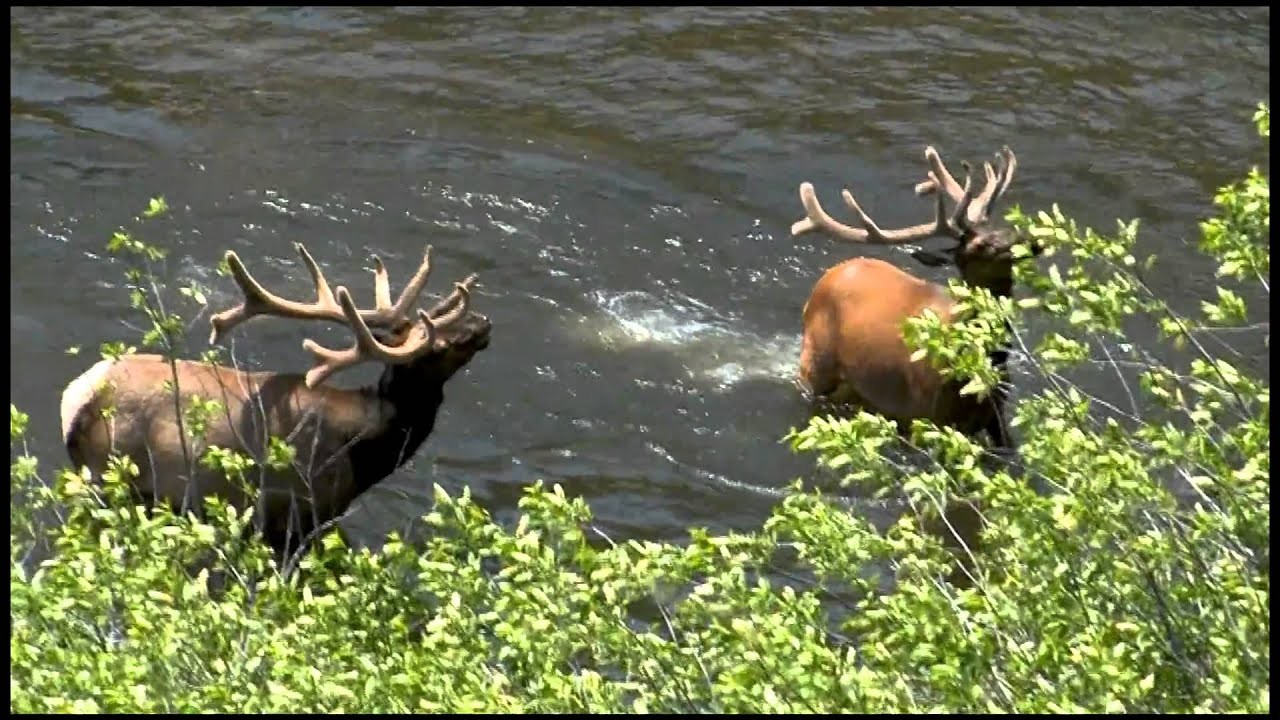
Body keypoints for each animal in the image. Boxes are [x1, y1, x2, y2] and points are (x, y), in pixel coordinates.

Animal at [59, 242, 492, 564]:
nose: (484, 323)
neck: (367, 451)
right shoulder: (297, 516)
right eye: (439, 343)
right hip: (112, 481)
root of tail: (75, 400)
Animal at [790, 144, 1041, 453]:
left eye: (1006, 227)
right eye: (981, 245)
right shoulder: (932, 415)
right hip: (815, 364)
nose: (1032, 242)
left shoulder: (997, 417)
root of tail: (832, 274)